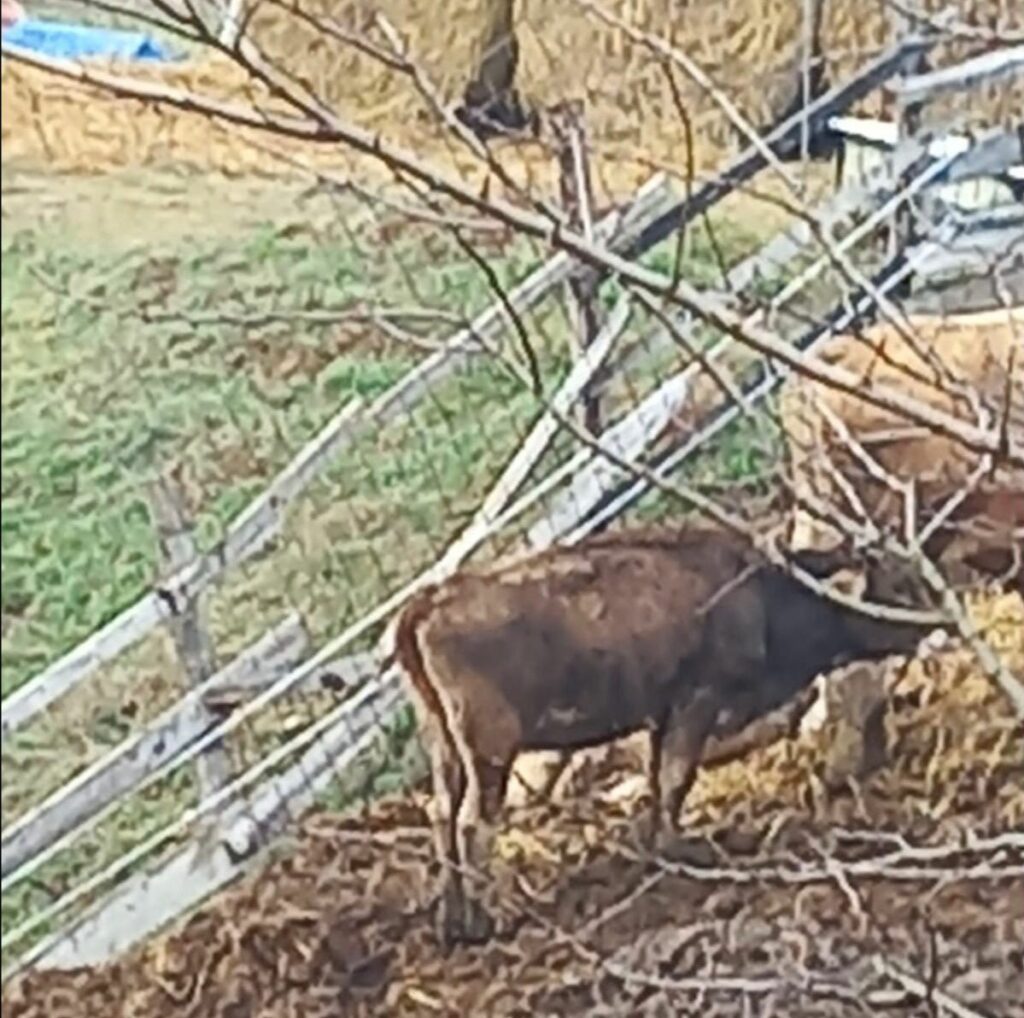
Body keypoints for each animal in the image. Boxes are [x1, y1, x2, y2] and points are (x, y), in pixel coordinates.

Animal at [389, 528, 942, 942]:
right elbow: (678, 777)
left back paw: (451, 922)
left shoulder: (661, 715)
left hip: (444, 746)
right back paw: (489, 921)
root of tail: (430, 600)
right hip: (490, 749)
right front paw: (683, 849)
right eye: (899, 585)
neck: (762, 595)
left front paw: (654, 843)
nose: (939, 622)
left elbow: (659, 781)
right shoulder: (695, 702)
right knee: (472, 823)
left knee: (441, 814)